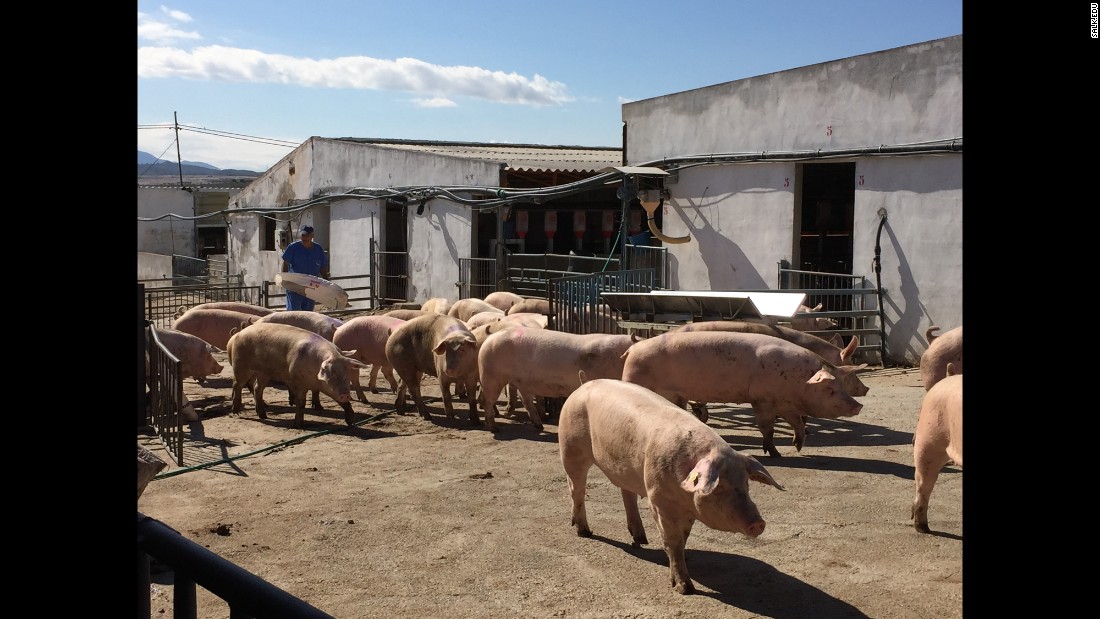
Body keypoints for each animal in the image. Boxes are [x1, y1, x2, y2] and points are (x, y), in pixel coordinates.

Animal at [225, 323, 367, 428]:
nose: (345, 393)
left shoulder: (323, 386)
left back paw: (263, 415)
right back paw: (237, 411)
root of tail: (237, 335)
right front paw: (298, 425)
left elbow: (342, 402)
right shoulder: (297, 382)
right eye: (332, 374)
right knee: (237, 384)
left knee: (257, 388)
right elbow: (301, 403)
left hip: (263, 373)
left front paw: (351, 422)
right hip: (240, 365)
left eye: (346, 372)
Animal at [477, 327, 642, 433]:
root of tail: (489, 339)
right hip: (491, 375)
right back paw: (494, 428)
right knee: (488, 400)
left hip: (520, 381)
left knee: (526, 401)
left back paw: (539, 426)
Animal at [558, 378, 783, 593]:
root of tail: (583, 385)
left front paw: (686, 558)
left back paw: (641, 539)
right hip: (570, 448)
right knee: (576, 489)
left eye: (745, 483)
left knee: (626, 493)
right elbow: (673, 541)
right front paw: (685, 588)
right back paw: (585, 532)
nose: (758, 523)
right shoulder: (659, 501)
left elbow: (684, 537)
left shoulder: (688, 509)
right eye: (719, 486)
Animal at [620, 332, 866, 457]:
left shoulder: (785, 403)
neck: (797, 381)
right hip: (634, 379)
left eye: (842, 385)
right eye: (830, 389)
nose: (858, 405)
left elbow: (797, 423)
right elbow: (767, 428)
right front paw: (774, 453)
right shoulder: (762, 400)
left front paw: (797, 446)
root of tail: (633, 348)